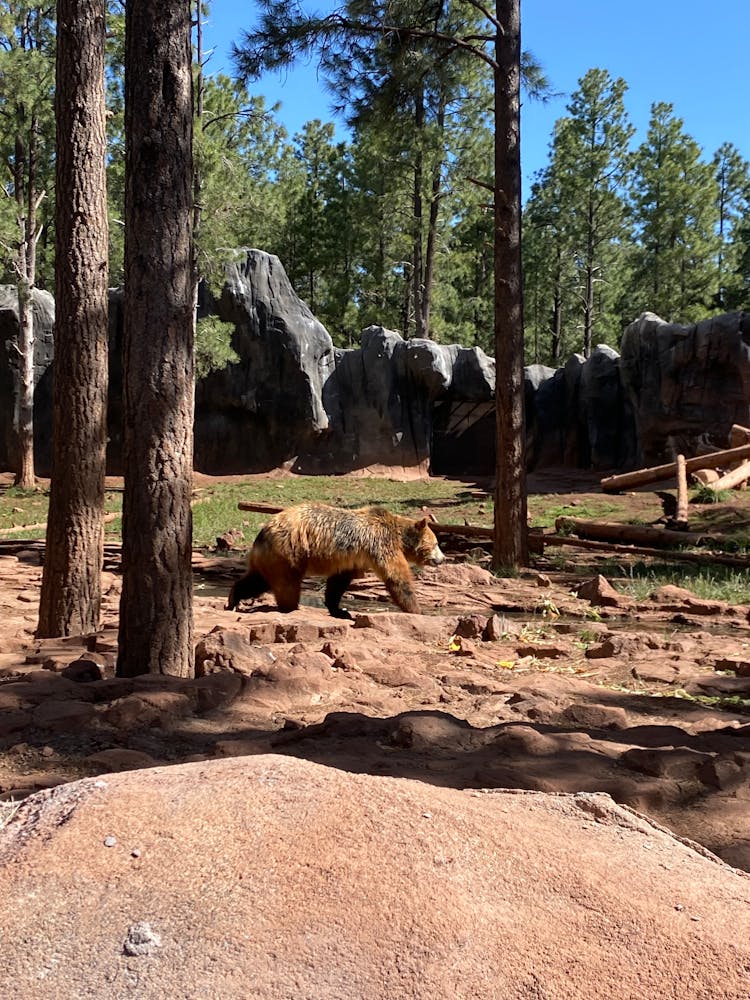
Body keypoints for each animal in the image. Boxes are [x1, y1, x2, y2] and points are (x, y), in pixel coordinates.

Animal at [226, 500, 444, 616]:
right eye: (435, 544)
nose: (442, 559)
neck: (398, 537)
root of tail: (263, 531)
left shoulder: (353, 558)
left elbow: (338, 582)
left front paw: (338, 609)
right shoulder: (381, 544)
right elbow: (397, 577)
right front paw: (417, 610)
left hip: (272, 557)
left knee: (257, 580)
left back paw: (233, 599)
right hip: (289, 552)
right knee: (286, 584)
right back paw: (291, 607)